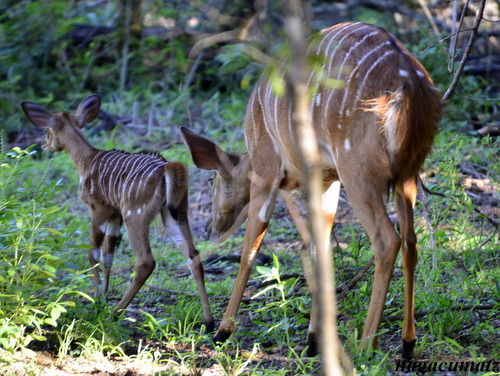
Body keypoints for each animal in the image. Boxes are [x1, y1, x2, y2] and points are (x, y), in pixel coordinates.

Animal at [21, 94, 214, 328]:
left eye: (47, 130)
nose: (44, 145)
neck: (85, 161)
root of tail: (168, 168)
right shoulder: (115, 214)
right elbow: (108, 255)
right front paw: (103, 296)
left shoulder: (99, 208)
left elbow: (92, 253)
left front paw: (97, 300)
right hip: (176, 212)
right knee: (193, 255)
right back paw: (210, 322)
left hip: (136, 214)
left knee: (146, 261)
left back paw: (116, 312)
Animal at [183, 22, 442, 356]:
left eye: (211, 180)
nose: (209, 226)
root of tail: (408, 87)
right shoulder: (326, 178)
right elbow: (320, 247)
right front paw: (313, 340)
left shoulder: (266, 170)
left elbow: (251, 249)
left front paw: (222, 331)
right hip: (406, 174)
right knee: (411, 241)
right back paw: (407, 343)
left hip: (359, 171)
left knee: (387, 240)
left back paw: (366, 345)